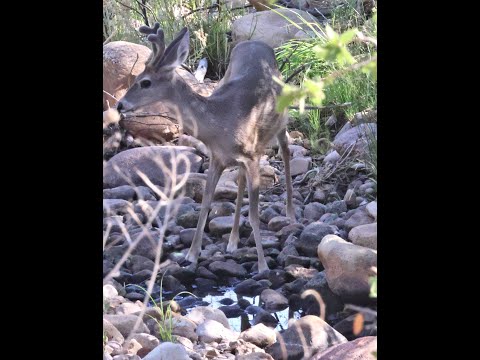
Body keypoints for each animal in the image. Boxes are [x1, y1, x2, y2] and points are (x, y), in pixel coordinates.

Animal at [117, 23, 294, 272]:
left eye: (145, 82)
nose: (119, 104)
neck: (219, 122)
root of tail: (256, 43)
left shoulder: (251, 156)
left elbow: (254, 214)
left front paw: (262, 266)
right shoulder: (217, 158)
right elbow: (205, 204)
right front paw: (191, 255)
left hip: (282, 120)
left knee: (286, 151)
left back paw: (291, 215)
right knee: (240, 180)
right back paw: (232, 241)